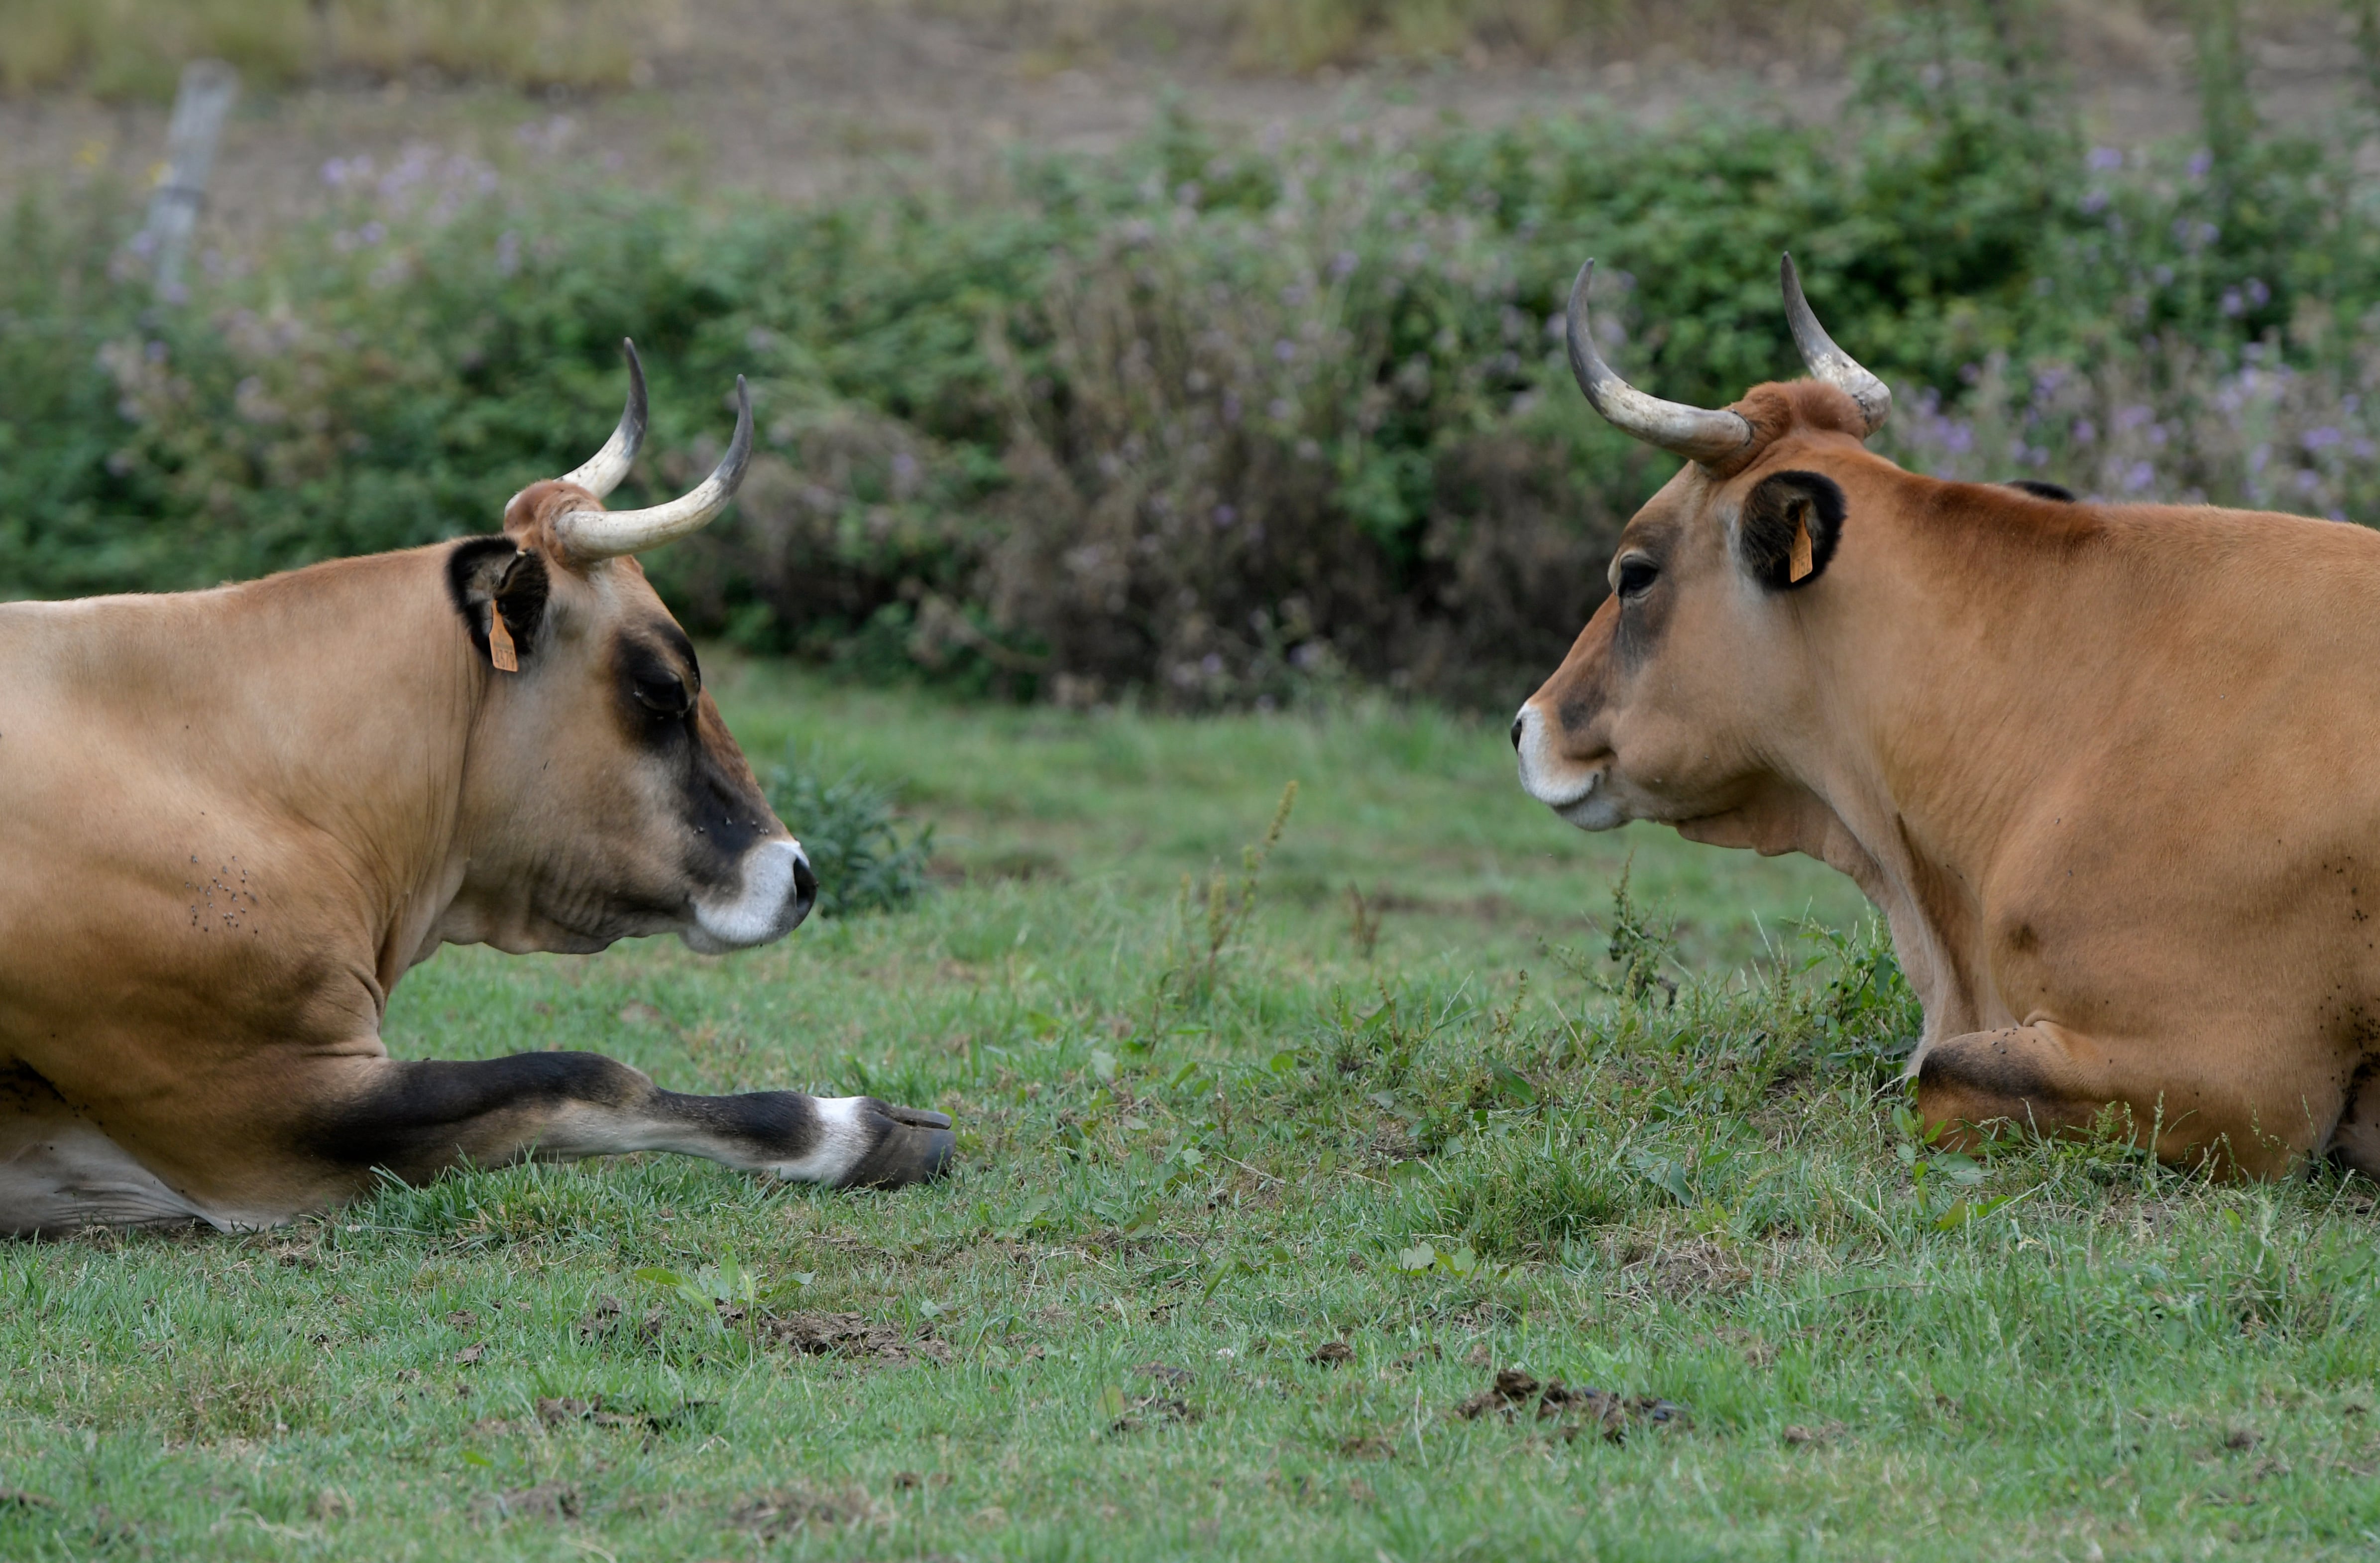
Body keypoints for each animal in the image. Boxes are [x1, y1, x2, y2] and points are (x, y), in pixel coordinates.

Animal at [9, 345, 956, 1227]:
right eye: (663, 686)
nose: (798, 873)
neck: (236, 774)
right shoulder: (259, 1105)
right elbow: (587, 1073)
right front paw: (862, 1128)